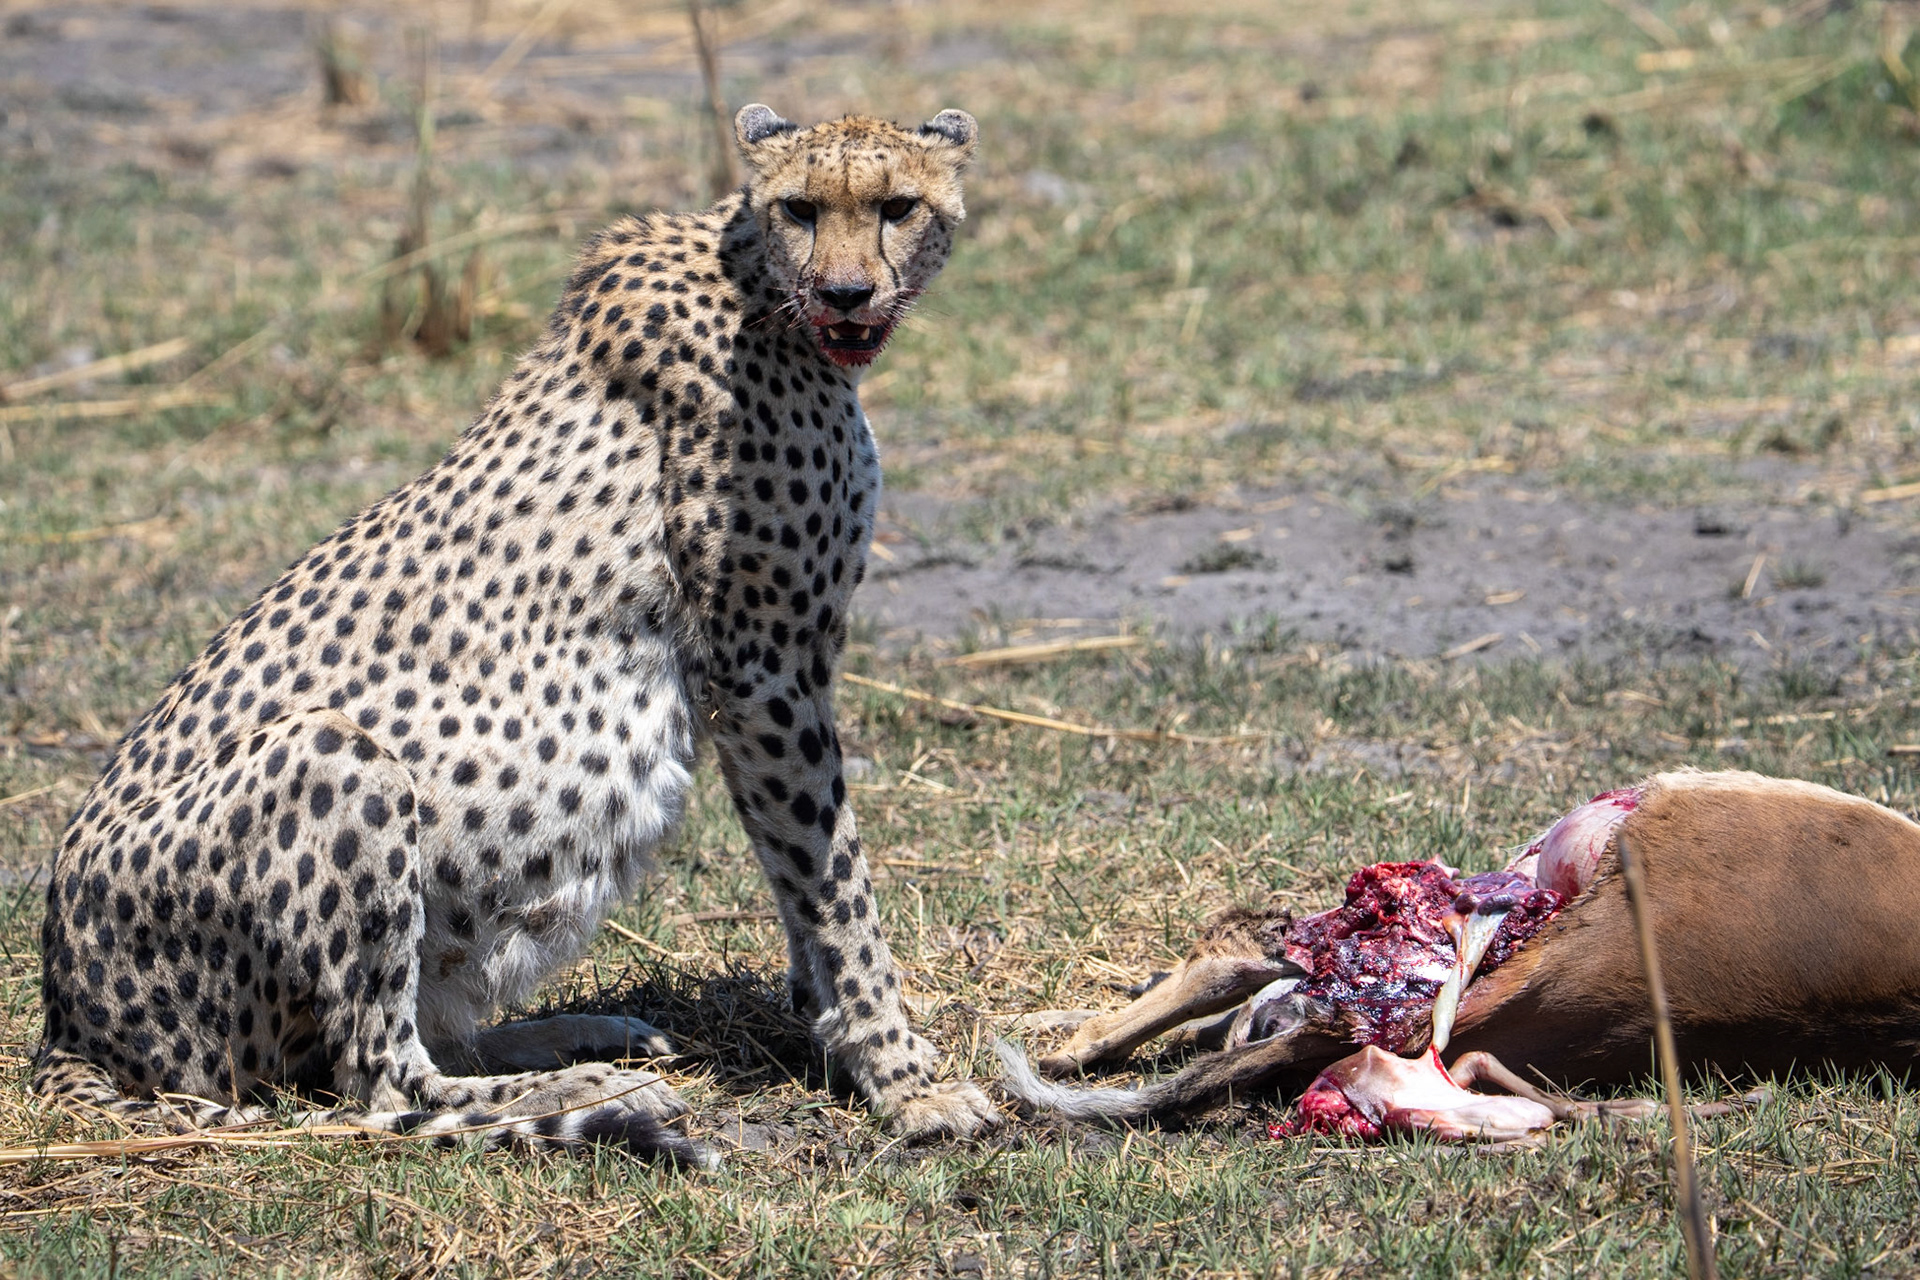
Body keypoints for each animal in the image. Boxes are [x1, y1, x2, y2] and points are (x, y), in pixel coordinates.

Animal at [31, 104, 997, 1169]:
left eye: (897, 206)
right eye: (801, 208)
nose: (846, 290)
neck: (761, 287)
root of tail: (62, 1018)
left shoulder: (765, 677)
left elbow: (799, 873)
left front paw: (831, 1027)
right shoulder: (764, 668)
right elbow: (836, 881)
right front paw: (902, 1077)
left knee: (413, 1045)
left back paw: (577, 1035)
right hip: (333, 752)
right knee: (379, 1082)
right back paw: (594, 1088)